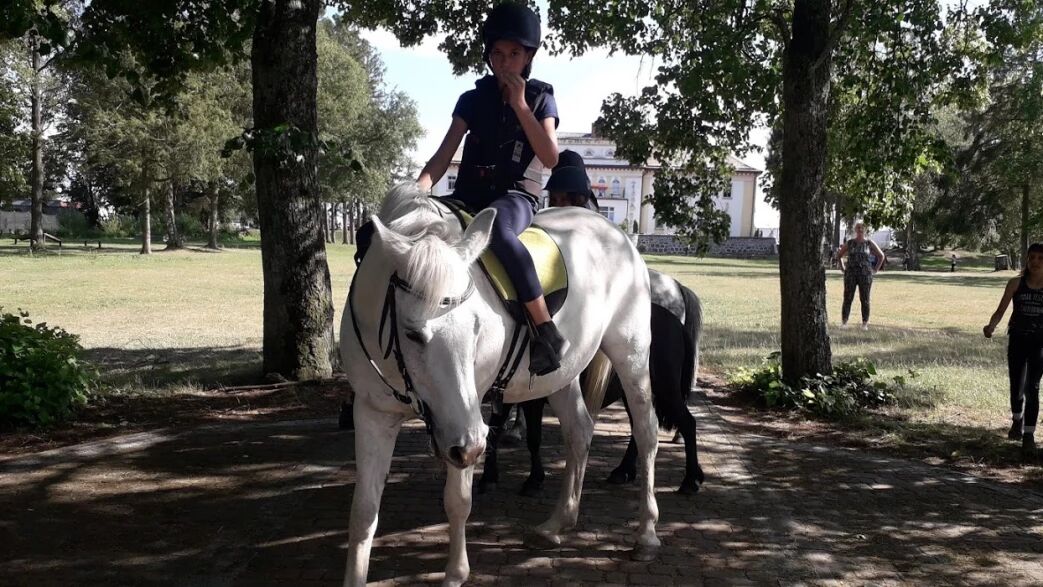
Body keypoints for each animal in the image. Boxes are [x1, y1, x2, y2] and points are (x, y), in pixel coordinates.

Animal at [339, 184, 662, 586]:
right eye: (413, 333)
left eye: (478, 326)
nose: (472, 446)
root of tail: (617, 234)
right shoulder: (374, 412)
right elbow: (363, 511)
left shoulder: (464, 422)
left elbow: (457, 501)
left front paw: (456, 573)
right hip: (561, 375)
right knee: (579, 432)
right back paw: (556, 525)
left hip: (631, 352)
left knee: (646, 431)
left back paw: (646, 535)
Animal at [478, 270, 706, 496]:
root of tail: (674, 321)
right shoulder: (504, 395)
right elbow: (494, 431)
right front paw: (489, 476)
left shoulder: (532, 399)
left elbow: (533, 438)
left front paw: (533, 479)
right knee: (640, 428)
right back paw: (624, 471)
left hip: (666, 389)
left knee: (687, 423)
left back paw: (690, 479)